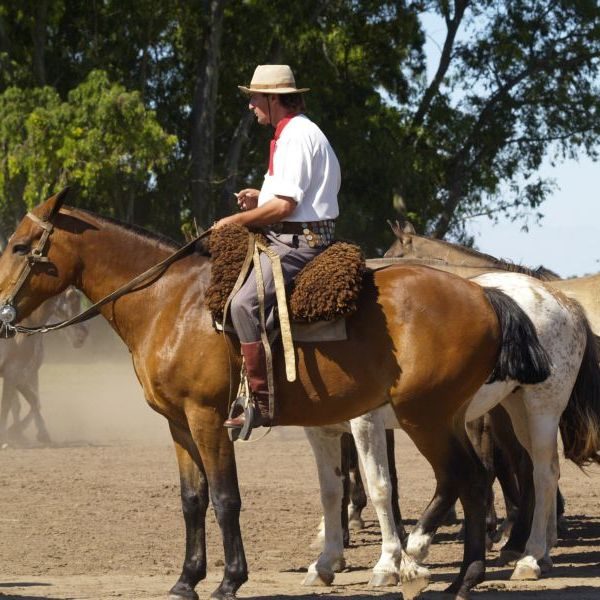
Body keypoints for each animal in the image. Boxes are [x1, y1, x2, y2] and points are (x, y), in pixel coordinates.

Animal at [0, 286, 88, 446]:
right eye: (72, 297)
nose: (83, 334)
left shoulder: (21, 374)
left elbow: (33, 401)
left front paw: (30, 433)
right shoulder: (13, 372)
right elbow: (8, 405)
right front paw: (7, 436)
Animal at [304, 274, 600, 596]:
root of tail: (562, 299)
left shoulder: (367, 422)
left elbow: (380, 487)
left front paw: (387, 564)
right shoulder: (322, 430)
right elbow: (331, 491)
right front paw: (326, 561)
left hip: (540, 408)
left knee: (541, 474)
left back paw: (528, 557)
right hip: (510, 409)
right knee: (530, 470)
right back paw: (537, 550)